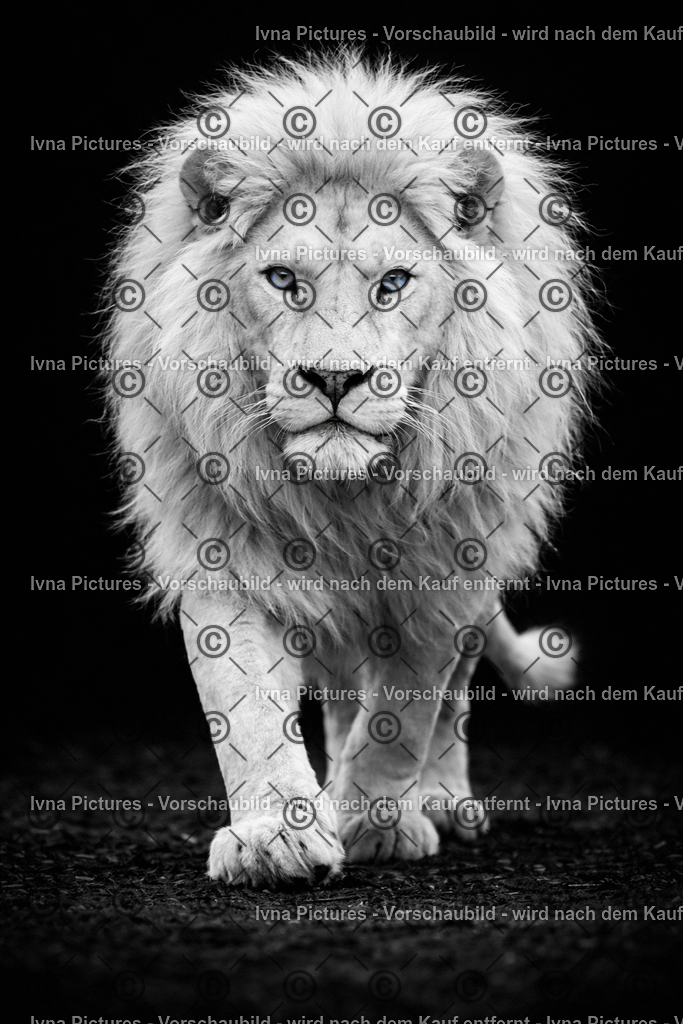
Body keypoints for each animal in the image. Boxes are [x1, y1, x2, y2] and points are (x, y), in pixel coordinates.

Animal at [105, 51, 600, 887]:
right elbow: (243, 702)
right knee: (340, 689)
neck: (347, 494)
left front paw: (375, 823)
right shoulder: (222, 548)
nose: (334, 379)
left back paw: (439, 801)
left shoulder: (445, 569)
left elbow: (404, 712)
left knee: (449, 699)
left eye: (392, 282)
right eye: (281, 279)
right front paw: (277, 835)